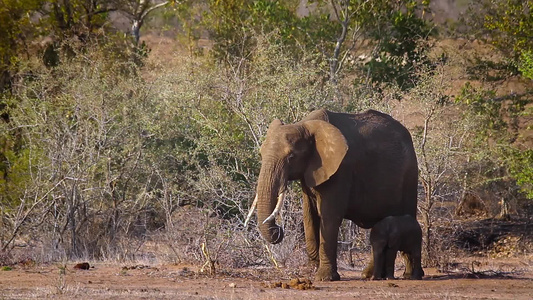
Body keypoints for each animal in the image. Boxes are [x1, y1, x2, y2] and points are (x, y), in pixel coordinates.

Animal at [243, 108, 418, 282]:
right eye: (261, 154)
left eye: (291, 157)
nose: (279, 229)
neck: (305, 125)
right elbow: (309, 215)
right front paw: (311, 269)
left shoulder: (341, 169)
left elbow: (329, 216)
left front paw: (324, 277)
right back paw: (369, 275)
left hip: (410, 175)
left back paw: (409, 276)